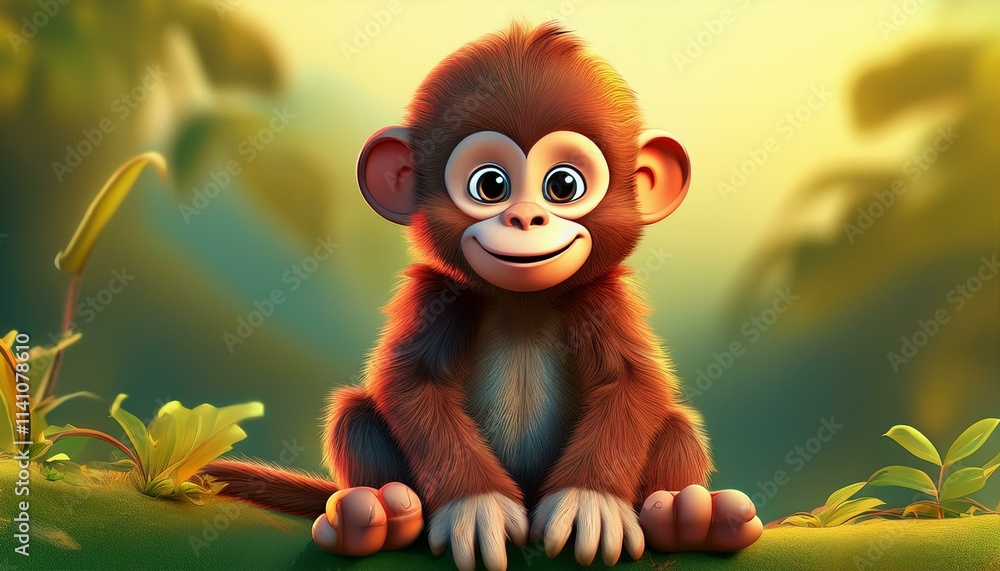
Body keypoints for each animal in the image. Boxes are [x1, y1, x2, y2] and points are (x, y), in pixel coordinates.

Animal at [202, 22, 762, 570]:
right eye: (490, 185)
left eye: (564, 185)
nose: (526, 218)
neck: (523, 303)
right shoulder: (435, 291)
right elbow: (411, 382)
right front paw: (475, 505)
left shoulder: (603, 297)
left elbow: (632, 381)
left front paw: (592, 501)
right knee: (354, 415)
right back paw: (380, 517)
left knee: (678, 427)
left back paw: (686, 517)